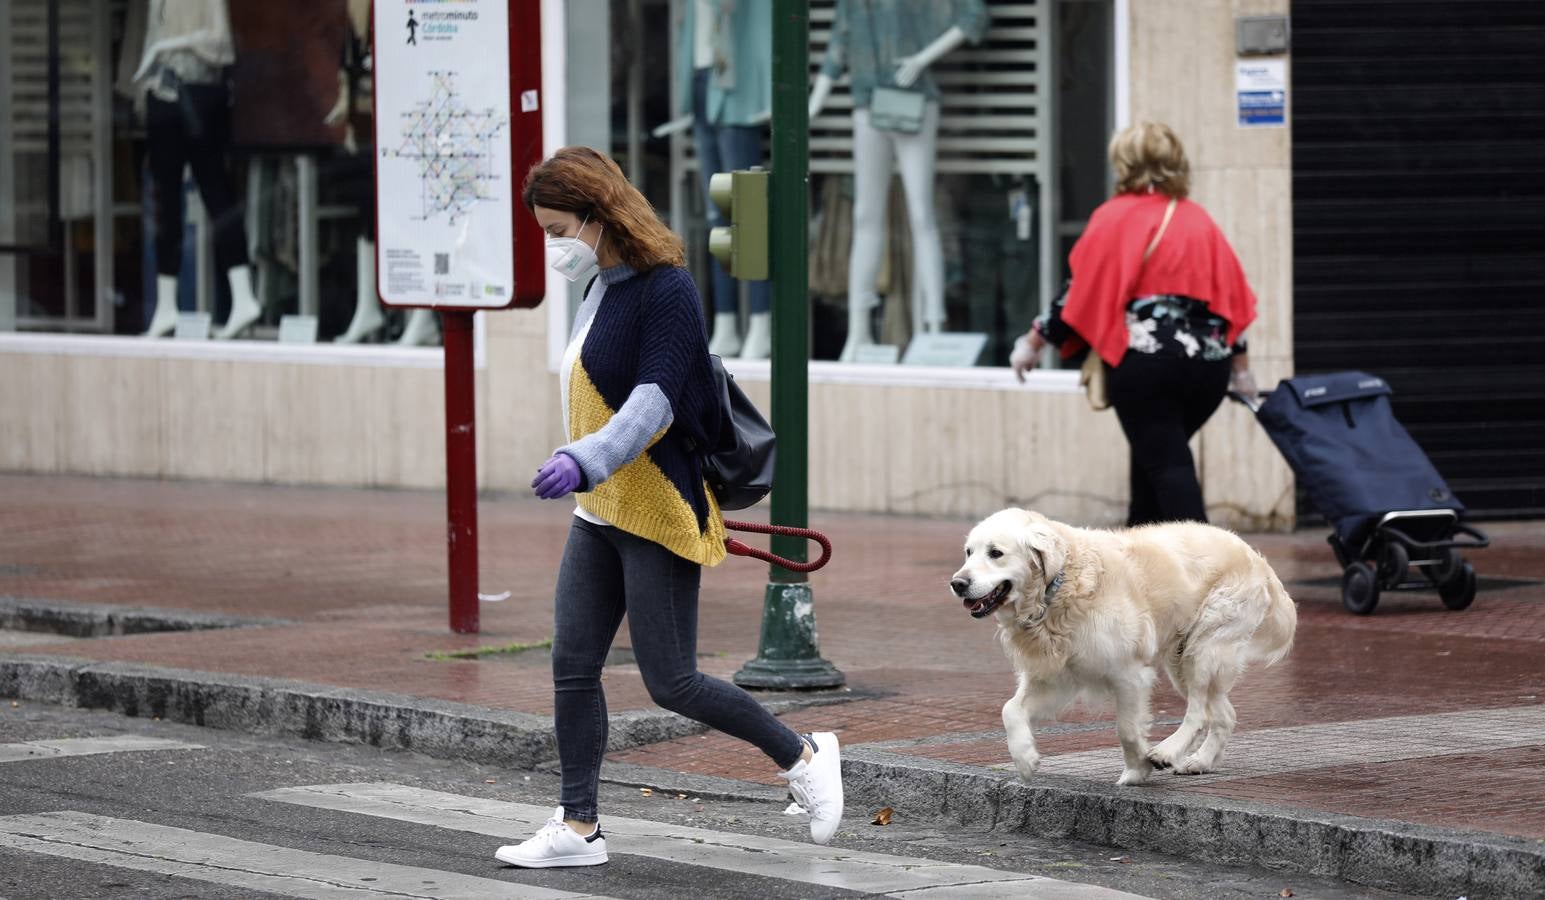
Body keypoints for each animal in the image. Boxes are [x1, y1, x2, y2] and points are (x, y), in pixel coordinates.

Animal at [951, 509, 1291, 784]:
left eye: (996, 553)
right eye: (968, 552)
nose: (957, 583)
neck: (1057, 591)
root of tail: (1256, 557)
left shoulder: (1128, 673)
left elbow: (1126, 728)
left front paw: (1137, 770)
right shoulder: (1056, 677)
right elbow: (1010, 709)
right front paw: (1025, 759)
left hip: (1205, 648)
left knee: (1198, 711)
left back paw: (1167, 752)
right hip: (1183, 659)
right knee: (1222, 714)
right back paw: (1200, 762)